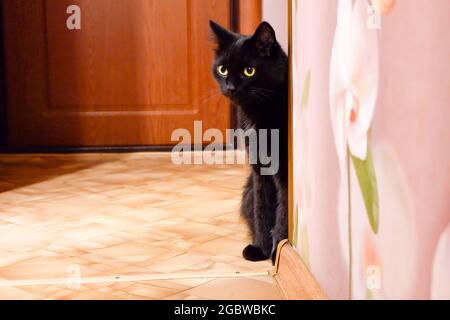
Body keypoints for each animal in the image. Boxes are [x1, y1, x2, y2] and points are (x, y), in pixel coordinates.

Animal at [210, 20, 288, 264]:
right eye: (222, 69)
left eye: (249, 71)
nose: (230, 88)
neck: (256, 113)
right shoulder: (258, 169)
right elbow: (262, 208)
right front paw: (260, 248)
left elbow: (283, 209)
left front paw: (277, 253)